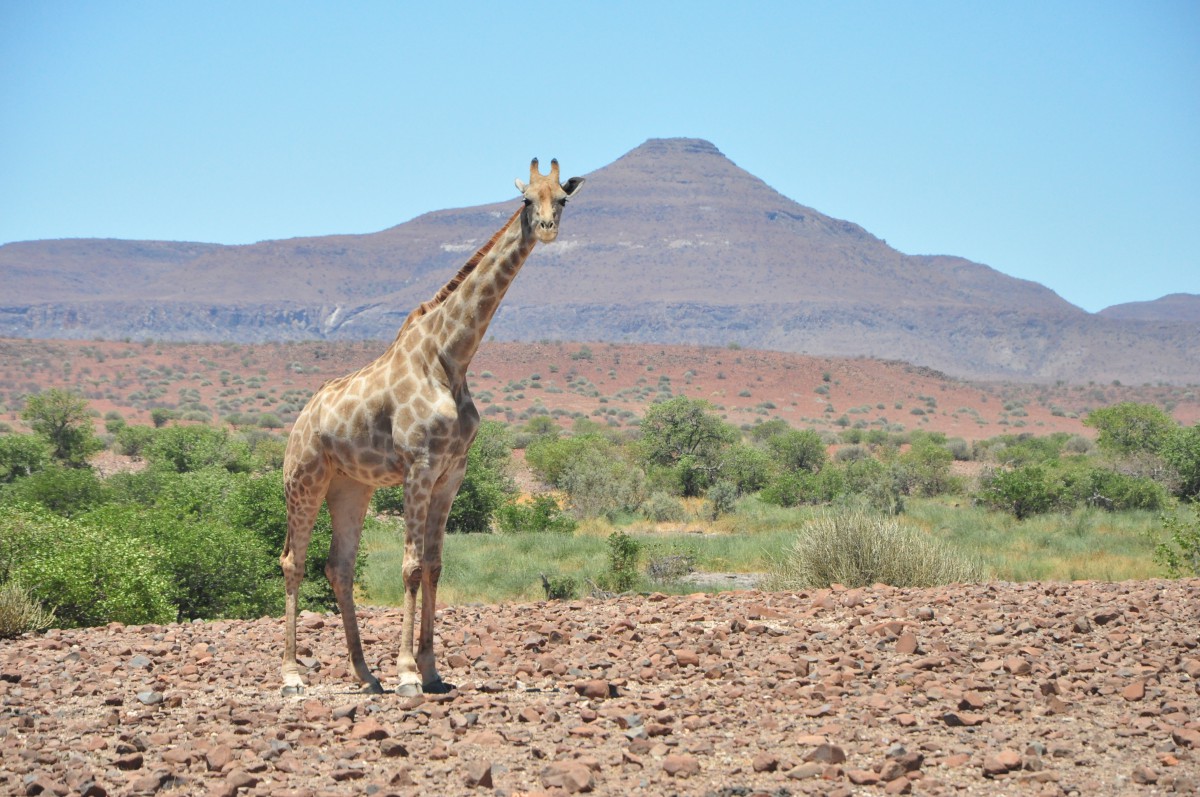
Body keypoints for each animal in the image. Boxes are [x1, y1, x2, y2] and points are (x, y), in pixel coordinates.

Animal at [277, 158, 585, 696]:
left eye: (562, 199)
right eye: (526, 199)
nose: (547, 228)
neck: (451, 358)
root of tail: (299, 420)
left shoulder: (451, 474)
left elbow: (436, 566)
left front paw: (431, 671)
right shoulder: (418, 467)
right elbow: (411, 566)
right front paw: (405, 673)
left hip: (350, 487)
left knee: (339, 566)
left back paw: (365, 675)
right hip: (305, 479)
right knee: (294, 562)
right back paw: (293, 675)